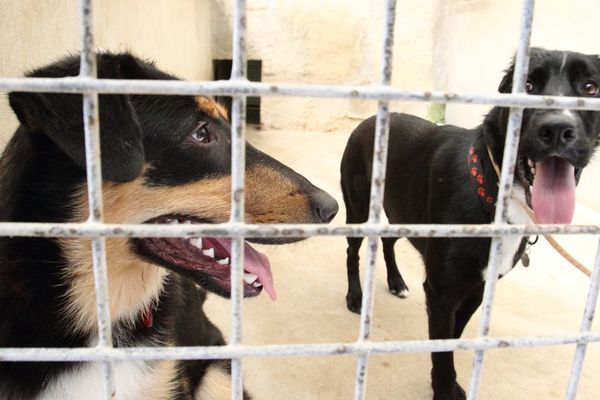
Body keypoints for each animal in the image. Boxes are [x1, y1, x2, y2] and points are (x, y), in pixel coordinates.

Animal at [340, 49, 600, 400]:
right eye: (527, 85)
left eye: (590, 87)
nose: (558, 129)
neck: (492, 194)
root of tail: (367, 122)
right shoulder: (441, 292)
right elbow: (442, 351)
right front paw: (443, 388)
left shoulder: (477, 288)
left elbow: (451, 340)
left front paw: (447, 383)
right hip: (358, 209)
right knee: (352, 252)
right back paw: (355, 295)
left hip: (400, 213)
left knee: (388, 242)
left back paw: (396, 281)